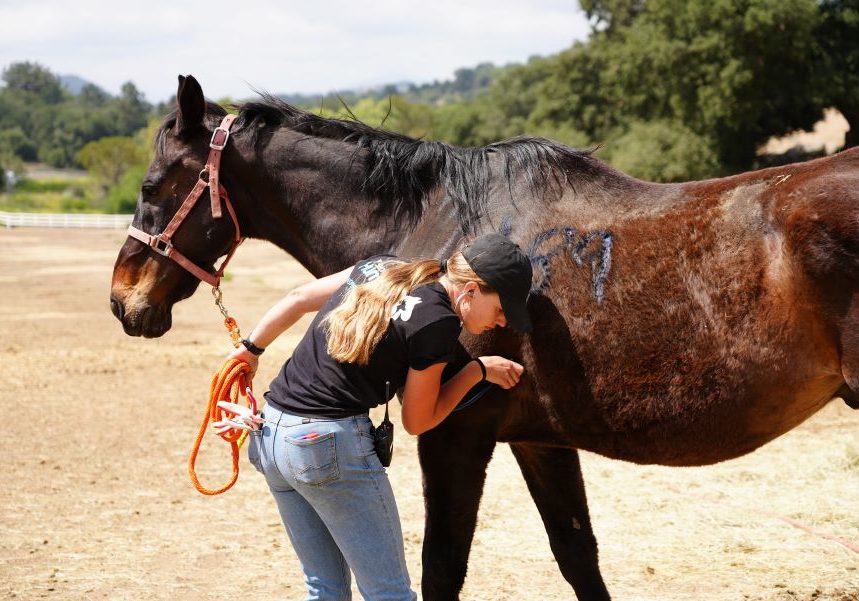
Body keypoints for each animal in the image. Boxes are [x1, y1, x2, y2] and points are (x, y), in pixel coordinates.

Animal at [110, 75, 859, 600]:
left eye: (152, 184)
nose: (124, 300)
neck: (444, 227)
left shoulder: (454, 436)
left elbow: (441, 566)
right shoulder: (540, 440)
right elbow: (577, 555)